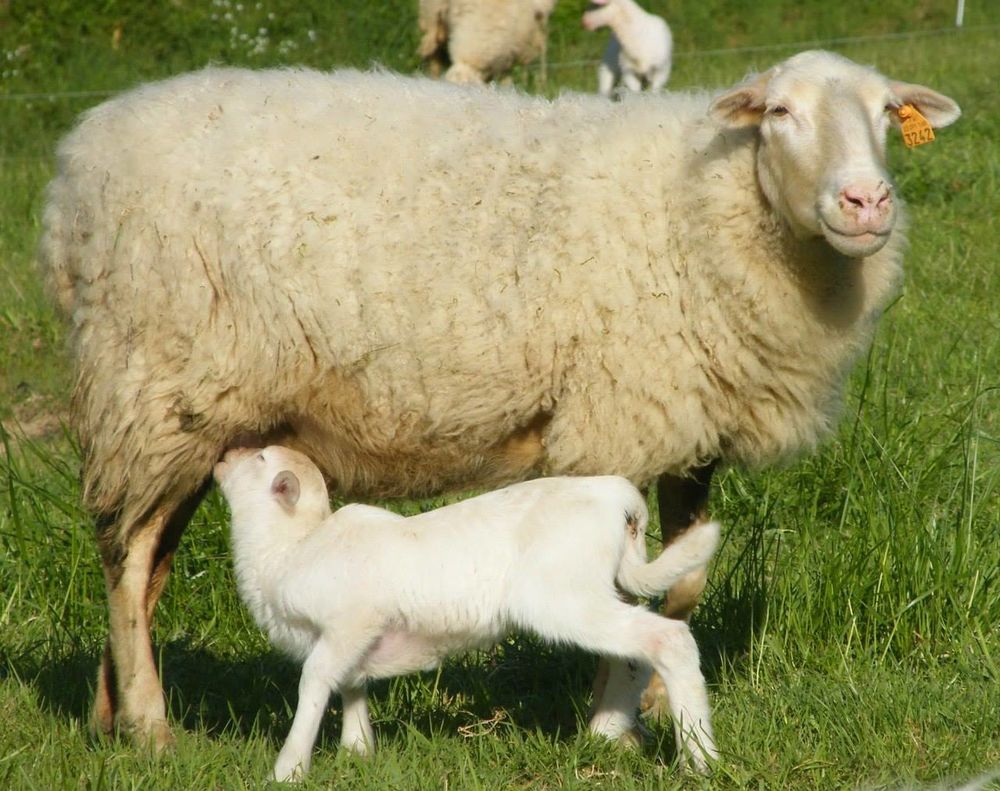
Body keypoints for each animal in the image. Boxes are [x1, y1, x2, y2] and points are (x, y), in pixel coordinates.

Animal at [217, 446, 720, 780]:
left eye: (259, 458)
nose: (225, 455)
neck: (290, 547)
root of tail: (619, 499)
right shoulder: (356, 639)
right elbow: (352, 684)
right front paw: (357, 753)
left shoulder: (349, 624)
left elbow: (316, 682)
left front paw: (287, 770)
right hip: (604, 591)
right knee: (633, 657)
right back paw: (605, 735)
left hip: (564, 598)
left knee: (668, 640)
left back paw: (701, 760)